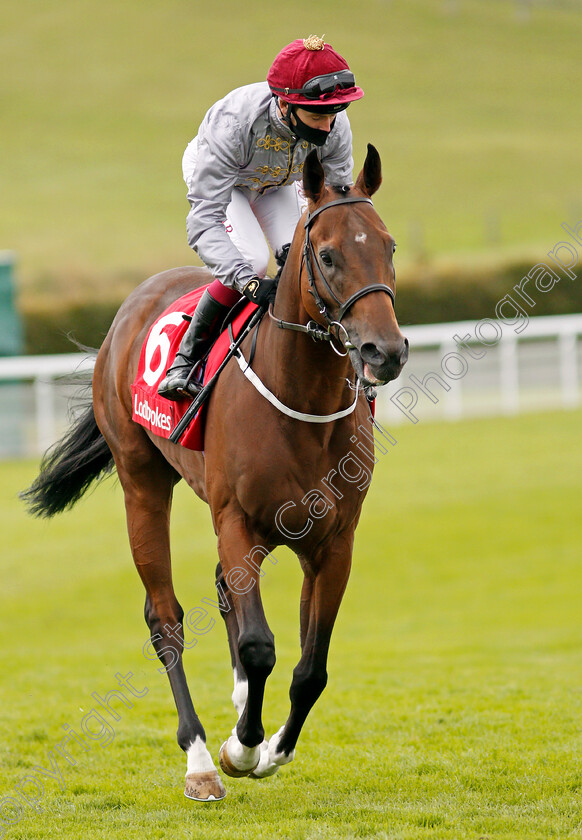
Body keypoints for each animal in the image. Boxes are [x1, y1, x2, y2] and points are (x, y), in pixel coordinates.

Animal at [22, 144, 410, 800]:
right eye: (328, 254)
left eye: (388, 246)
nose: (387, 352)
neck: (301, 401)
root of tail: (135, 302)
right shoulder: (238, 521)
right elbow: (258, 647)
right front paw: (240, 749)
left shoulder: (333, 541)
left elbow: (311, 668)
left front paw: (273, 748)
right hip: (142, 483)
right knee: (165, 619)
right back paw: (200, 757)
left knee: (225, 593)